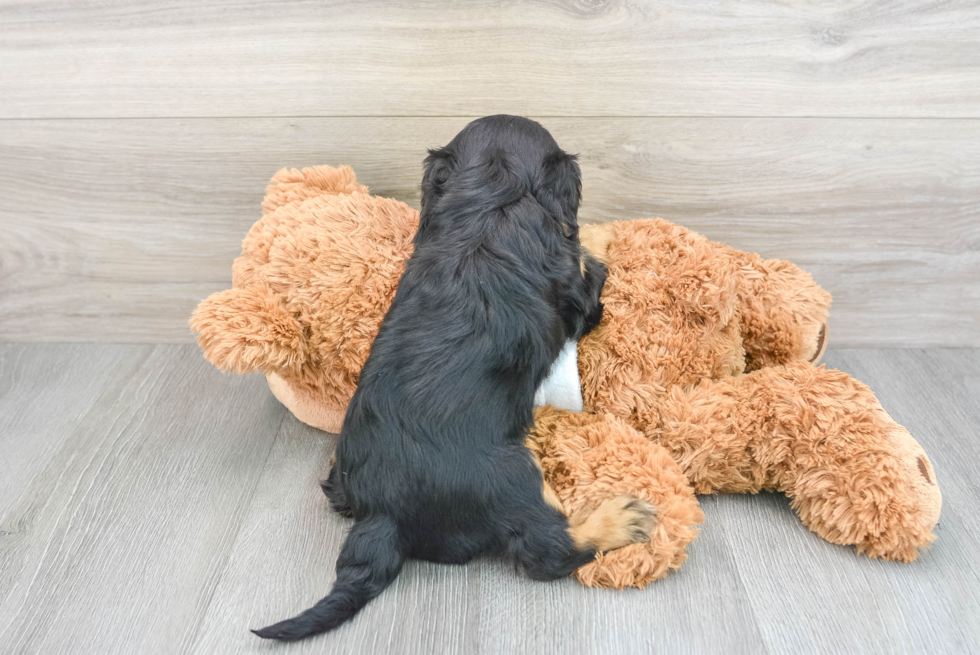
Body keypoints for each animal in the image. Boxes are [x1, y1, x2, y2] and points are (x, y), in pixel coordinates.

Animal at [253, 115, 656, 644]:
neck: (492, 202)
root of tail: (383, 514)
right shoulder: (578, 300)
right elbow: (591, 262)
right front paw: (601, 234)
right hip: (513, 473)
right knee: (548, 549)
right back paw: (621, 519)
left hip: (342, 478)